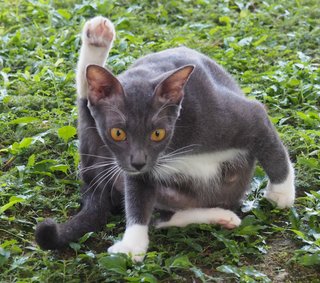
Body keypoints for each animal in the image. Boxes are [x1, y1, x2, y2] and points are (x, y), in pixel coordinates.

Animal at [35, 15, 296, 262]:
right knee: (162, 217)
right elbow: (138, 197)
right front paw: (133, 243)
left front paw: (281, 193)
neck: (174, 146)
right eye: (118, 133)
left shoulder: (230, 115)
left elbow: (271, 146)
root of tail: (91, 179)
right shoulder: (131, 165)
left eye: (157, 133)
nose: (138, 162)